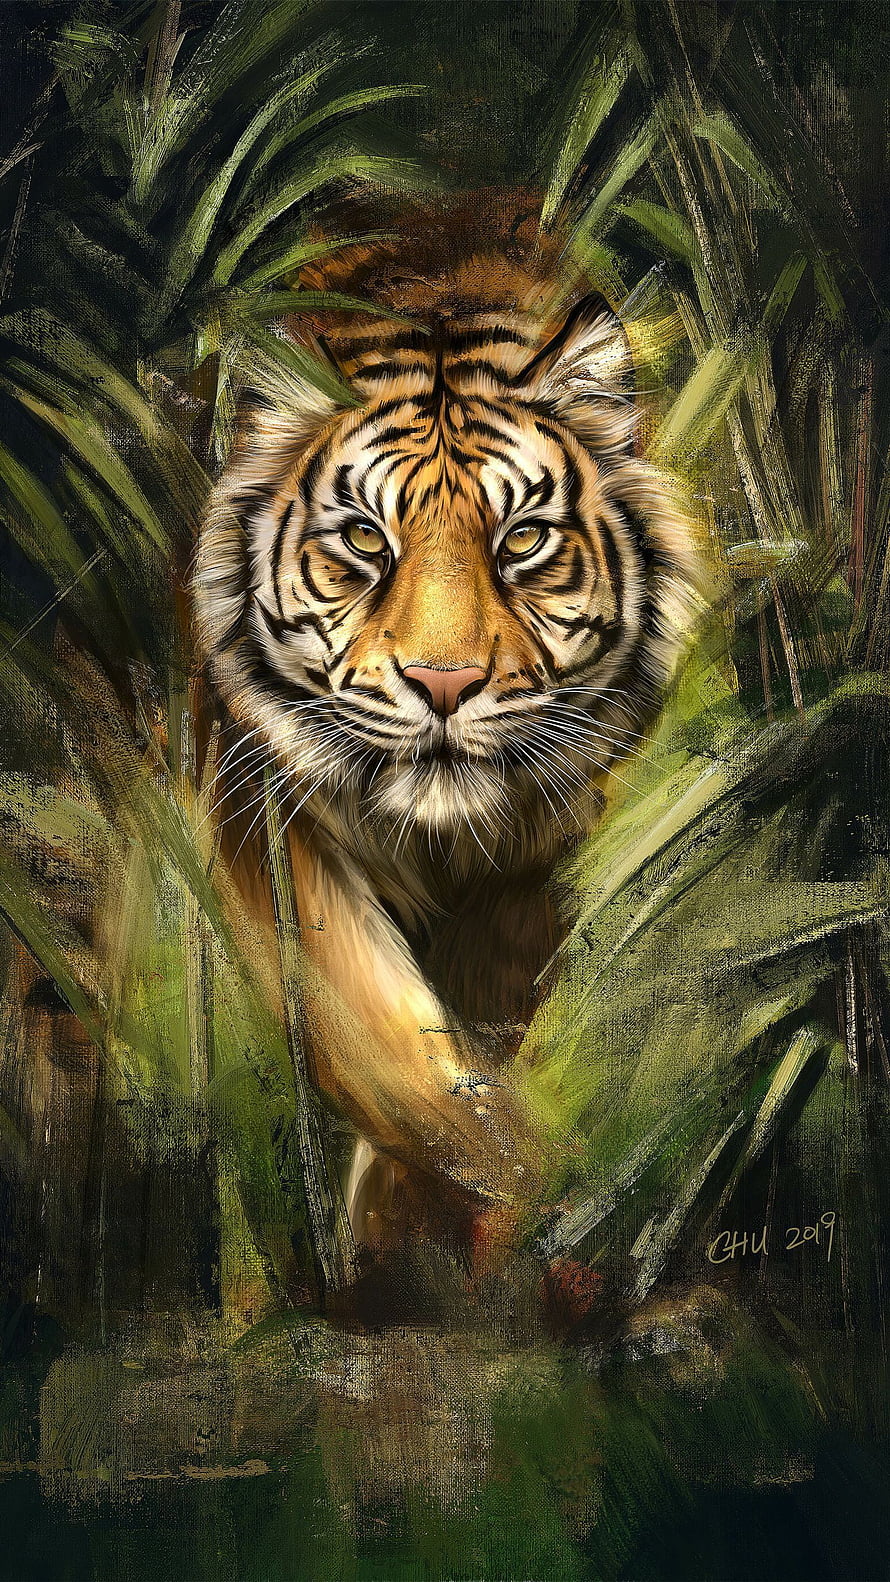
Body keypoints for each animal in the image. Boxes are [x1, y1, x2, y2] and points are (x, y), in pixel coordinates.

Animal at [193, 200, 702, 1259]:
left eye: (523, 539)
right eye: (363, 539)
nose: (444, 682)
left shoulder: (532, 862)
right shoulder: (269, 816)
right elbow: (380, 1040)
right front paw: (517, 1183)